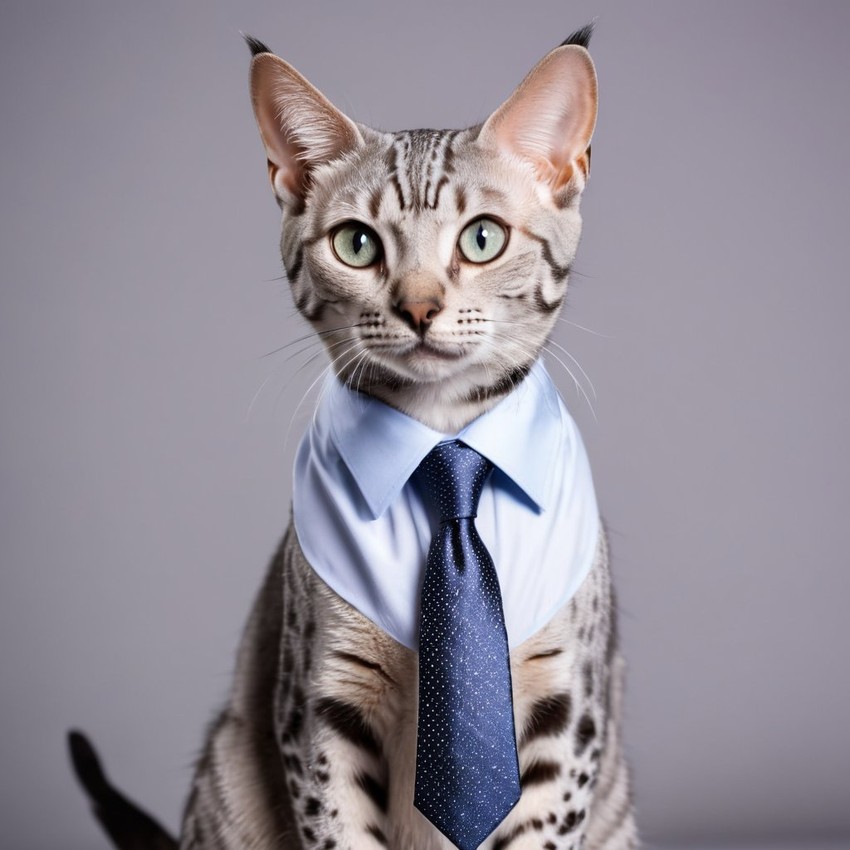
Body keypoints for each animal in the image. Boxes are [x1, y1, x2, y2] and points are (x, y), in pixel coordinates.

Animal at [68, 24, 636, 848]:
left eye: (484, 239)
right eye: (357, 245)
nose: (420, 307)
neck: (443, 442)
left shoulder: (569, 711)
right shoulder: (318, 704)